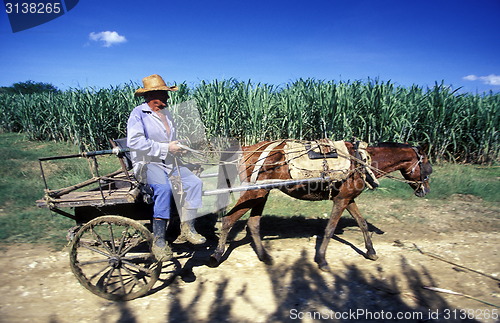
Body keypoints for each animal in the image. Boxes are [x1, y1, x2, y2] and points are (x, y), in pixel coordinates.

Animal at [209, 140, 432, 272]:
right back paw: (216, 256)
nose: (426, 190)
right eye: (427, 165)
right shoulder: (341, 200)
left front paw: (370, 251)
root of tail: (246, 149)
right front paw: (322, 260)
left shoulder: (348, 198)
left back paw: (265, 257)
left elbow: (362, 223)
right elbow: (330, 229)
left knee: (253, 224)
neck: (360, 161)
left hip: (261, 193)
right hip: (254, 193)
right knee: (228, 220)